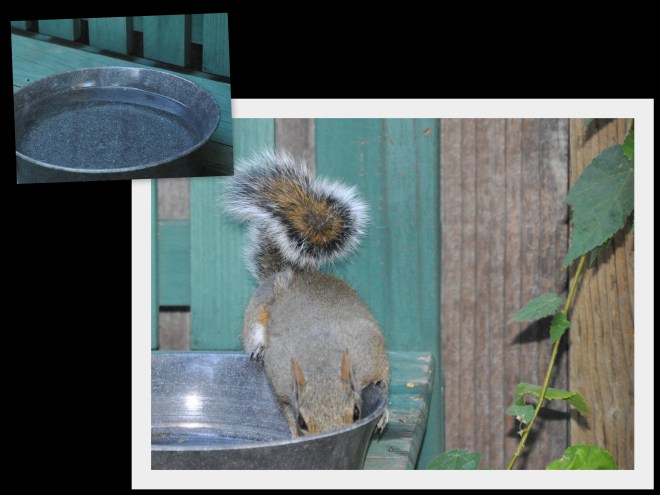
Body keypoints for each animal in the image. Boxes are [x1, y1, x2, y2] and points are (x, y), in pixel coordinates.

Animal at [225, 150, 390, 437]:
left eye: (356, 412)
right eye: (303, 421)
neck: (321, 357)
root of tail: (298, 273)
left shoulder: (370, 349)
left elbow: (386, 378)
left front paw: (385, 413)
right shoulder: (280, 380)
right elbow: (285, 410)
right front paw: (292, 434)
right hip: (261, 307)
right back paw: (258, 349)